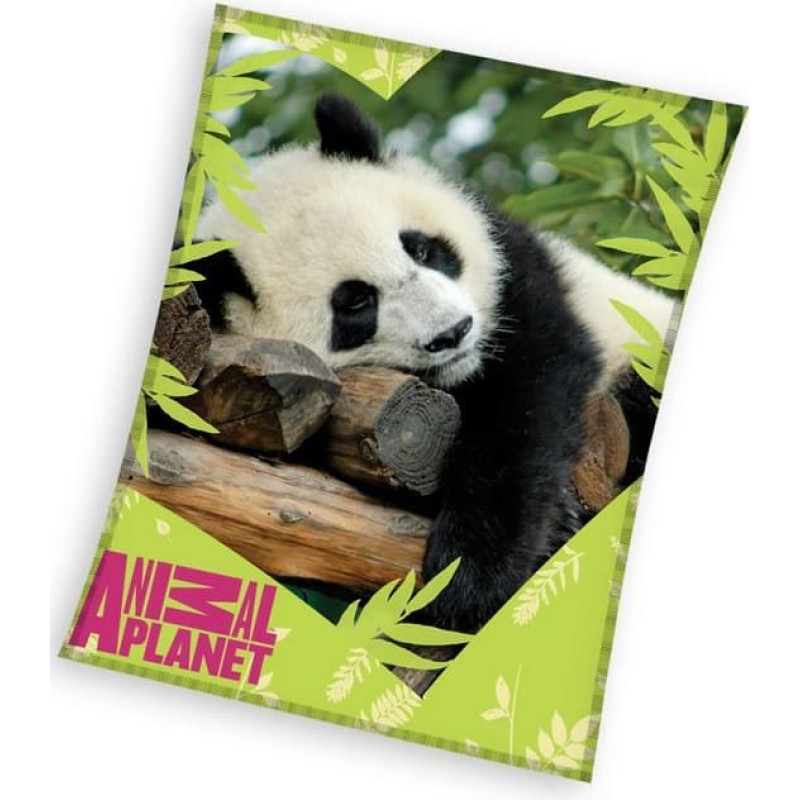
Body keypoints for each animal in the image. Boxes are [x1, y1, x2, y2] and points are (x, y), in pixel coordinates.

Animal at [191, 93, 677, 632]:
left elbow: (528, 400)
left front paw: (470, 573)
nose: (454, 332)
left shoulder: (519, 281)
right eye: (356, 303)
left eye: (421, 248)